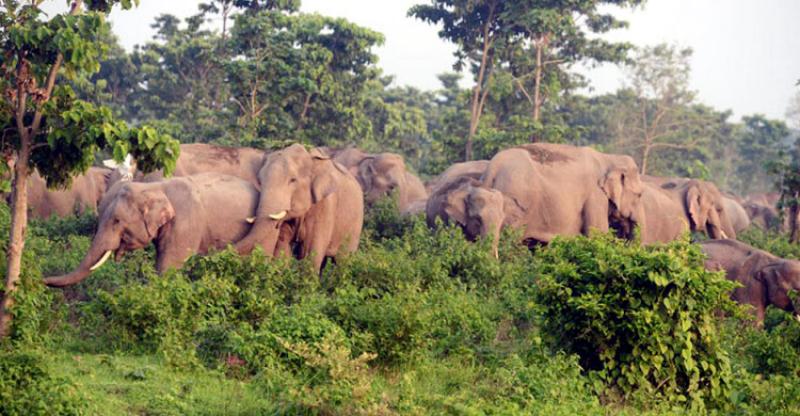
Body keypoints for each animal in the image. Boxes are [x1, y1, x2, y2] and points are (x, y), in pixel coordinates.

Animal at [233, 145, 364, 272]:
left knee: (343, 261)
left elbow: (311, 254)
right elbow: (282, 248)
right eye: (260, 181)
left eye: (293, 180)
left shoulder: (325, 206)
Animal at [478, 144, 648, 247]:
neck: (609, 157)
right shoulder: (595, 196)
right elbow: (597, 234)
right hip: (517, 204)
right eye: (639, 195)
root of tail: (493, 167)